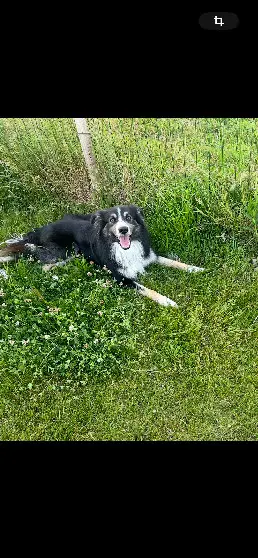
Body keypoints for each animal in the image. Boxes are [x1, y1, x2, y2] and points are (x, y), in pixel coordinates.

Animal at [0, 206, 206, 308]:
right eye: (113, 220)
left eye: (128, 218)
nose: (123, 230)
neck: (125, 249)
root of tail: (38, 231)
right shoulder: (121, 278)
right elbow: (147, 289)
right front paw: (168, 301)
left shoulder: (148, 256)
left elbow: (174, 262)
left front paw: (196, 269)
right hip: (64, 252)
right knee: (42, 265)